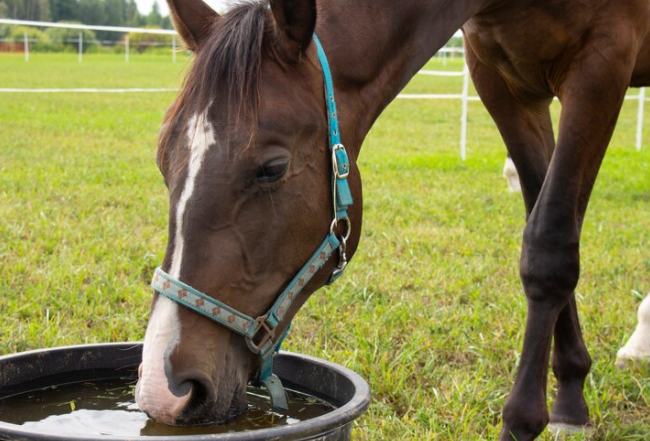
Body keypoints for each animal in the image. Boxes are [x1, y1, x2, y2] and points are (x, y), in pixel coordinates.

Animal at [133, 0, 648, 440]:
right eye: (162, 158)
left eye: (272, 168)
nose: (164, 392)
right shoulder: (502, 83)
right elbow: (545, 219)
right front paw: (571, 397)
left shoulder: (603, 60)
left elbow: (551, 243)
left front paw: (532, 417)